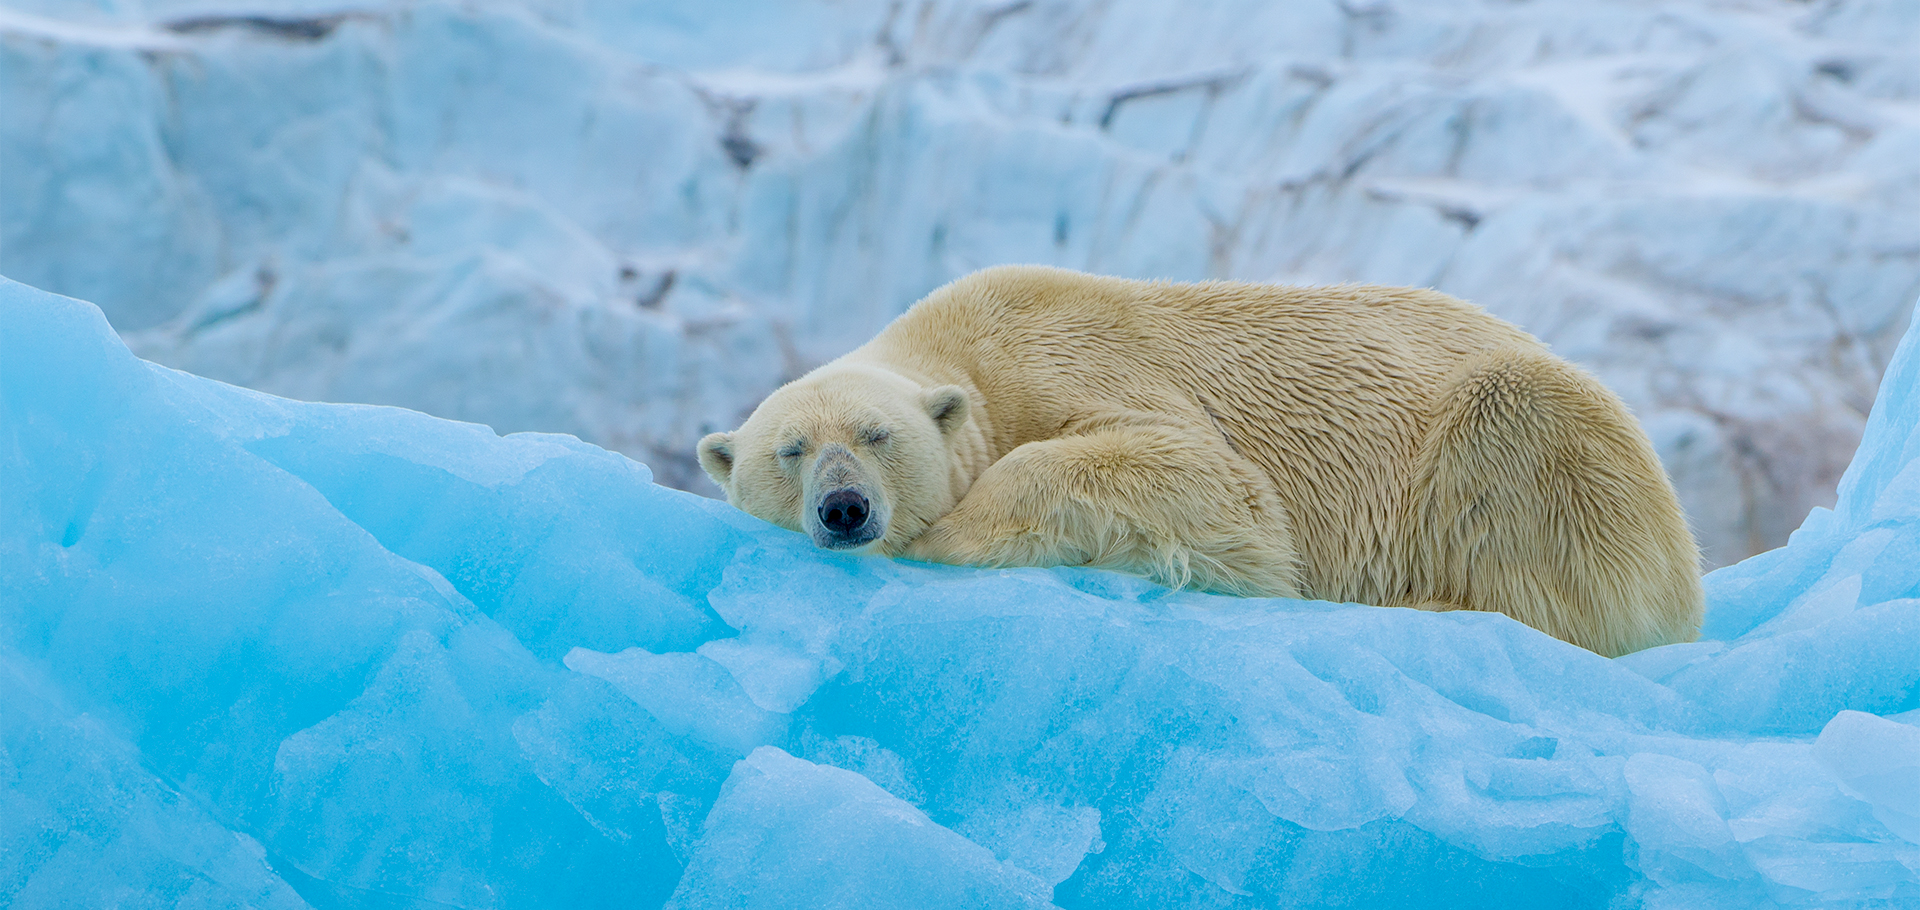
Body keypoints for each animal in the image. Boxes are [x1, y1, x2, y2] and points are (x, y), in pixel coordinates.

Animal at [697, 265, 1703, 657]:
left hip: (1544, 439)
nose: (845, 509)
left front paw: (946, 536)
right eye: (790, 451)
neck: (970, 347)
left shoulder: (1075, 359)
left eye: (875, 436)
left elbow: (1205, 478)